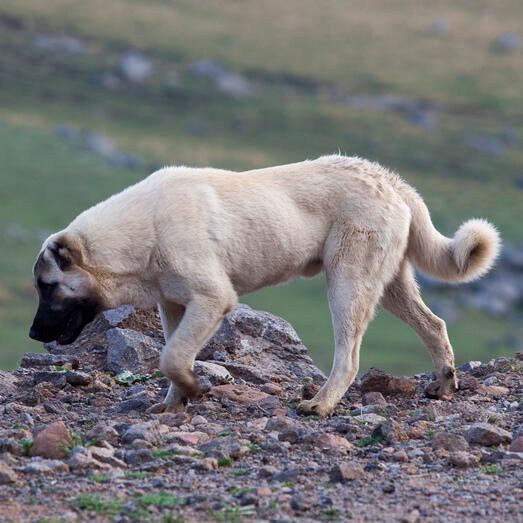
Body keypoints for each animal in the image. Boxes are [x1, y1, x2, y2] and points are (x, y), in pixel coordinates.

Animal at [27, 156, 500, 418]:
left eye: (47, 287)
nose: (32, 333)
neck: (142, 230)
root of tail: (388, 178)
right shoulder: (174, 306)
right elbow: (172, 355)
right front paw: (175, 402)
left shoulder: (213, 299)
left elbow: (171, 357)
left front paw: (194, 389)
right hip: (388, 285)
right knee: (434, 325)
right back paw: (444, 383)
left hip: (348, 284)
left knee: (348, 356)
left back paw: (321, 405)